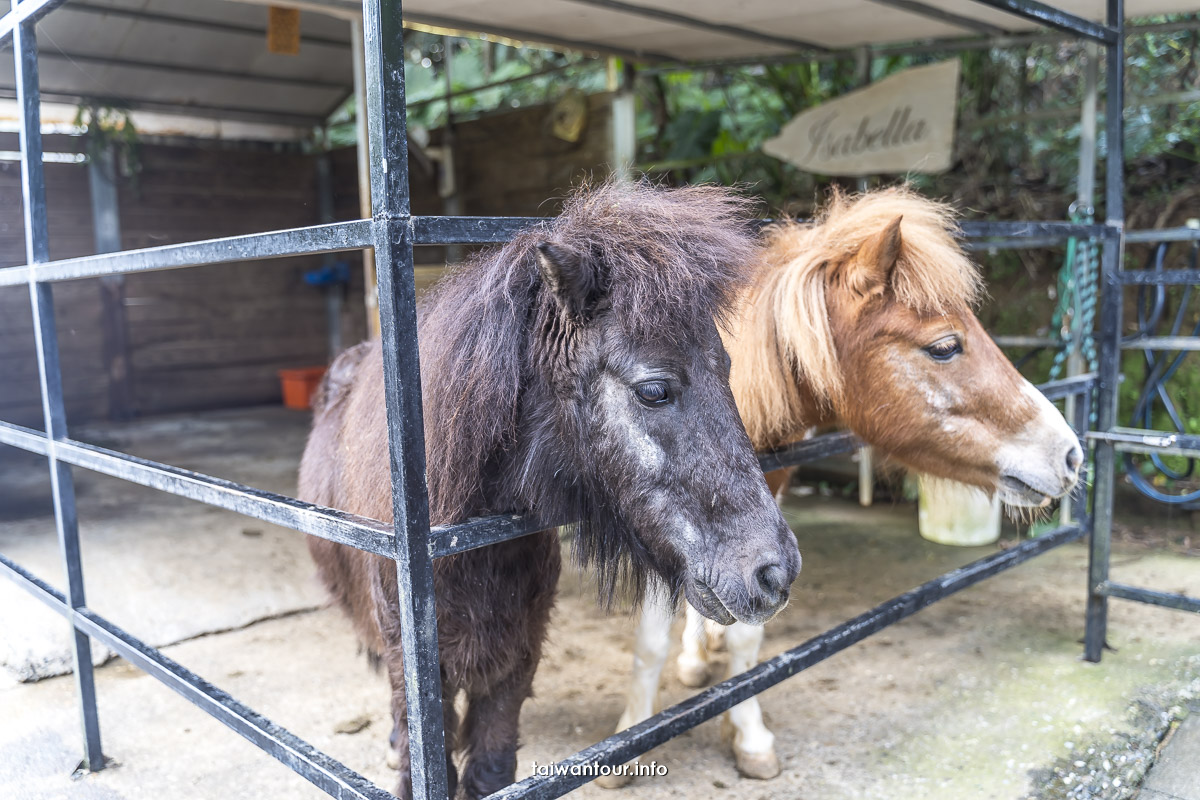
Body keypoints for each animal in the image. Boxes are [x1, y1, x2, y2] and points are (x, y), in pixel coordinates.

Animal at [296, 181, 801, 800]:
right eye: (654, 389)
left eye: (727, 369)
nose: (775, 571)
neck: (458, 542)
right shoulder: (417, 676)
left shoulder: (515, 664)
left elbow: (491, 770)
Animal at [604, 185, 1084, 786]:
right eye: (945, 346)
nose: (1069, 453)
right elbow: (649, 642)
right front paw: (630, 738)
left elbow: (746, 637)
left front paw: (750, 737)